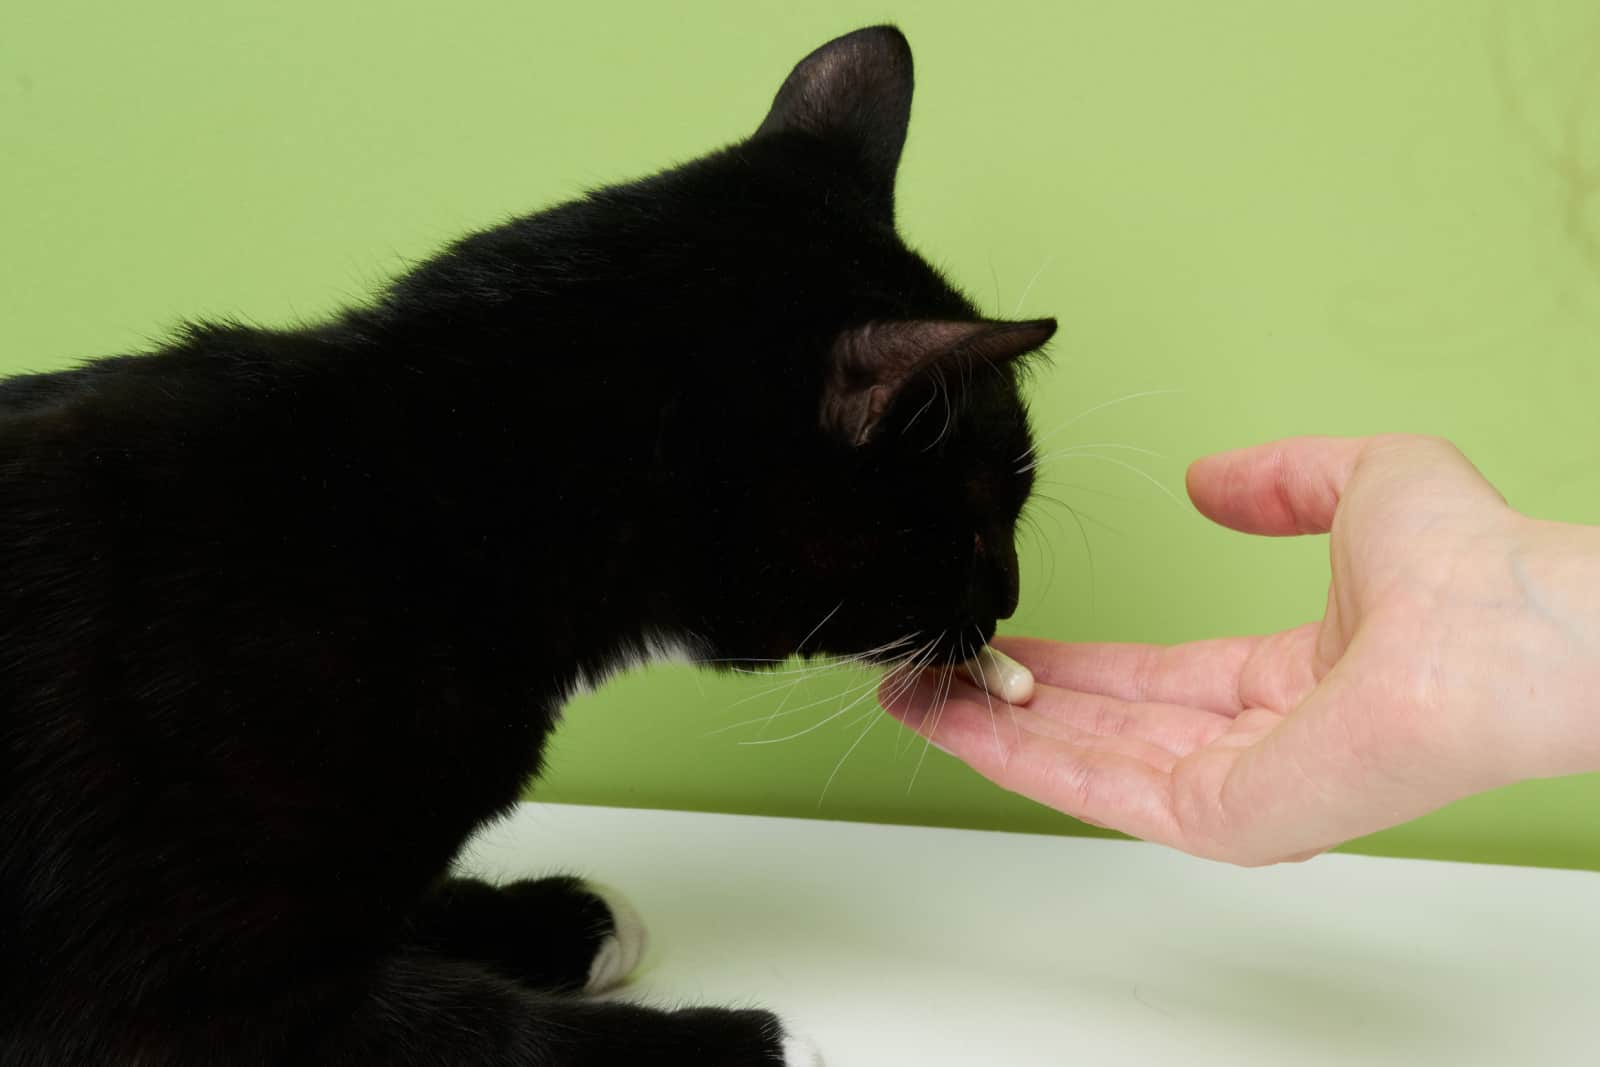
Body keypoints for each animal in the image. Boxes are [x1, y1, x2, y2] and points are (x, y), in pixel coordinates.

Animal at [0, 24, 1056, 1067]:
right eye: (975, 520)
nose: (1006, 597)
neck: (422, 488)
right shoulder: (157, 1002)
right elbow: (475, 1027)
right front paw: (755, 1043)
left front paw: (559, 918)